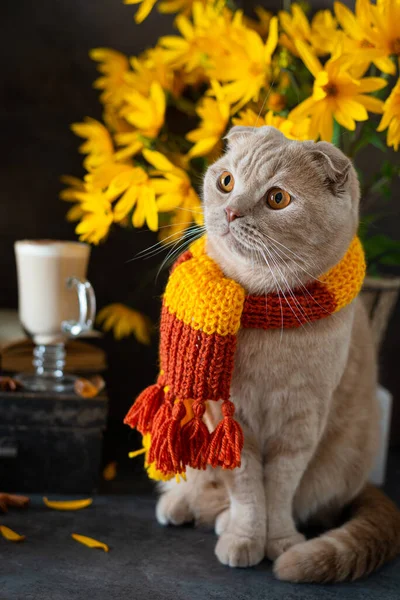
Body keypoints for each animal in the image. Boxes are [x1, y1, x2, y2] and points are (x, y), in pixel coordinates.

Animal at [155, 125, 398, 580]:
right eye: (226, 182)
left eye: (277, 199)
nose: (231, 212)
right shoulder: (230, 417)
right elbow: (247, 490)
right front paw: (244, 537)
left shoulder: (301, 421)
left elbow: (280, 490)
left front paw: (280, 540)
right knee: (203, 488)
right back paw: (185, 506)